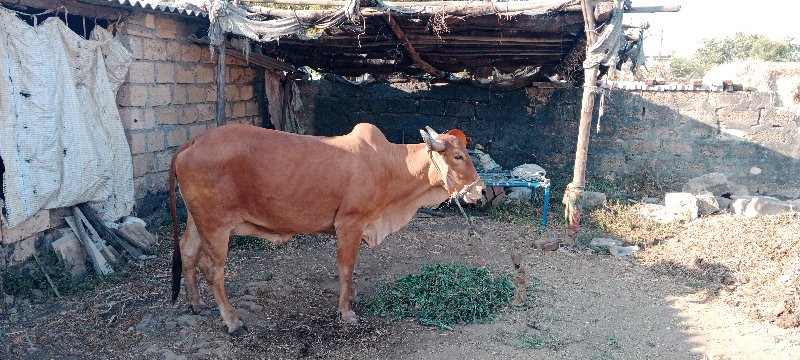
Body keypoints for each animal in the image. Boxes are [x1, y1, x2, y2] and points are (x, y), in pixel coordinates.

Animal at [169, 123, 482, 334]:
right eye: (458, 157)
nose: (479, 190)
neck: (390, 166)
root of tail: (195, 140)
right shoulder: (349, 224)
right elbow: (346, 267)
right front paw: (346, 311)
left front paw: (352, 297)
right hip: (216, 226)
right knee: (212, 270)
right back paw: (232, 321)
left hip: (198, 221)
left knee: (188, 252)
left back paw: (196, 304)